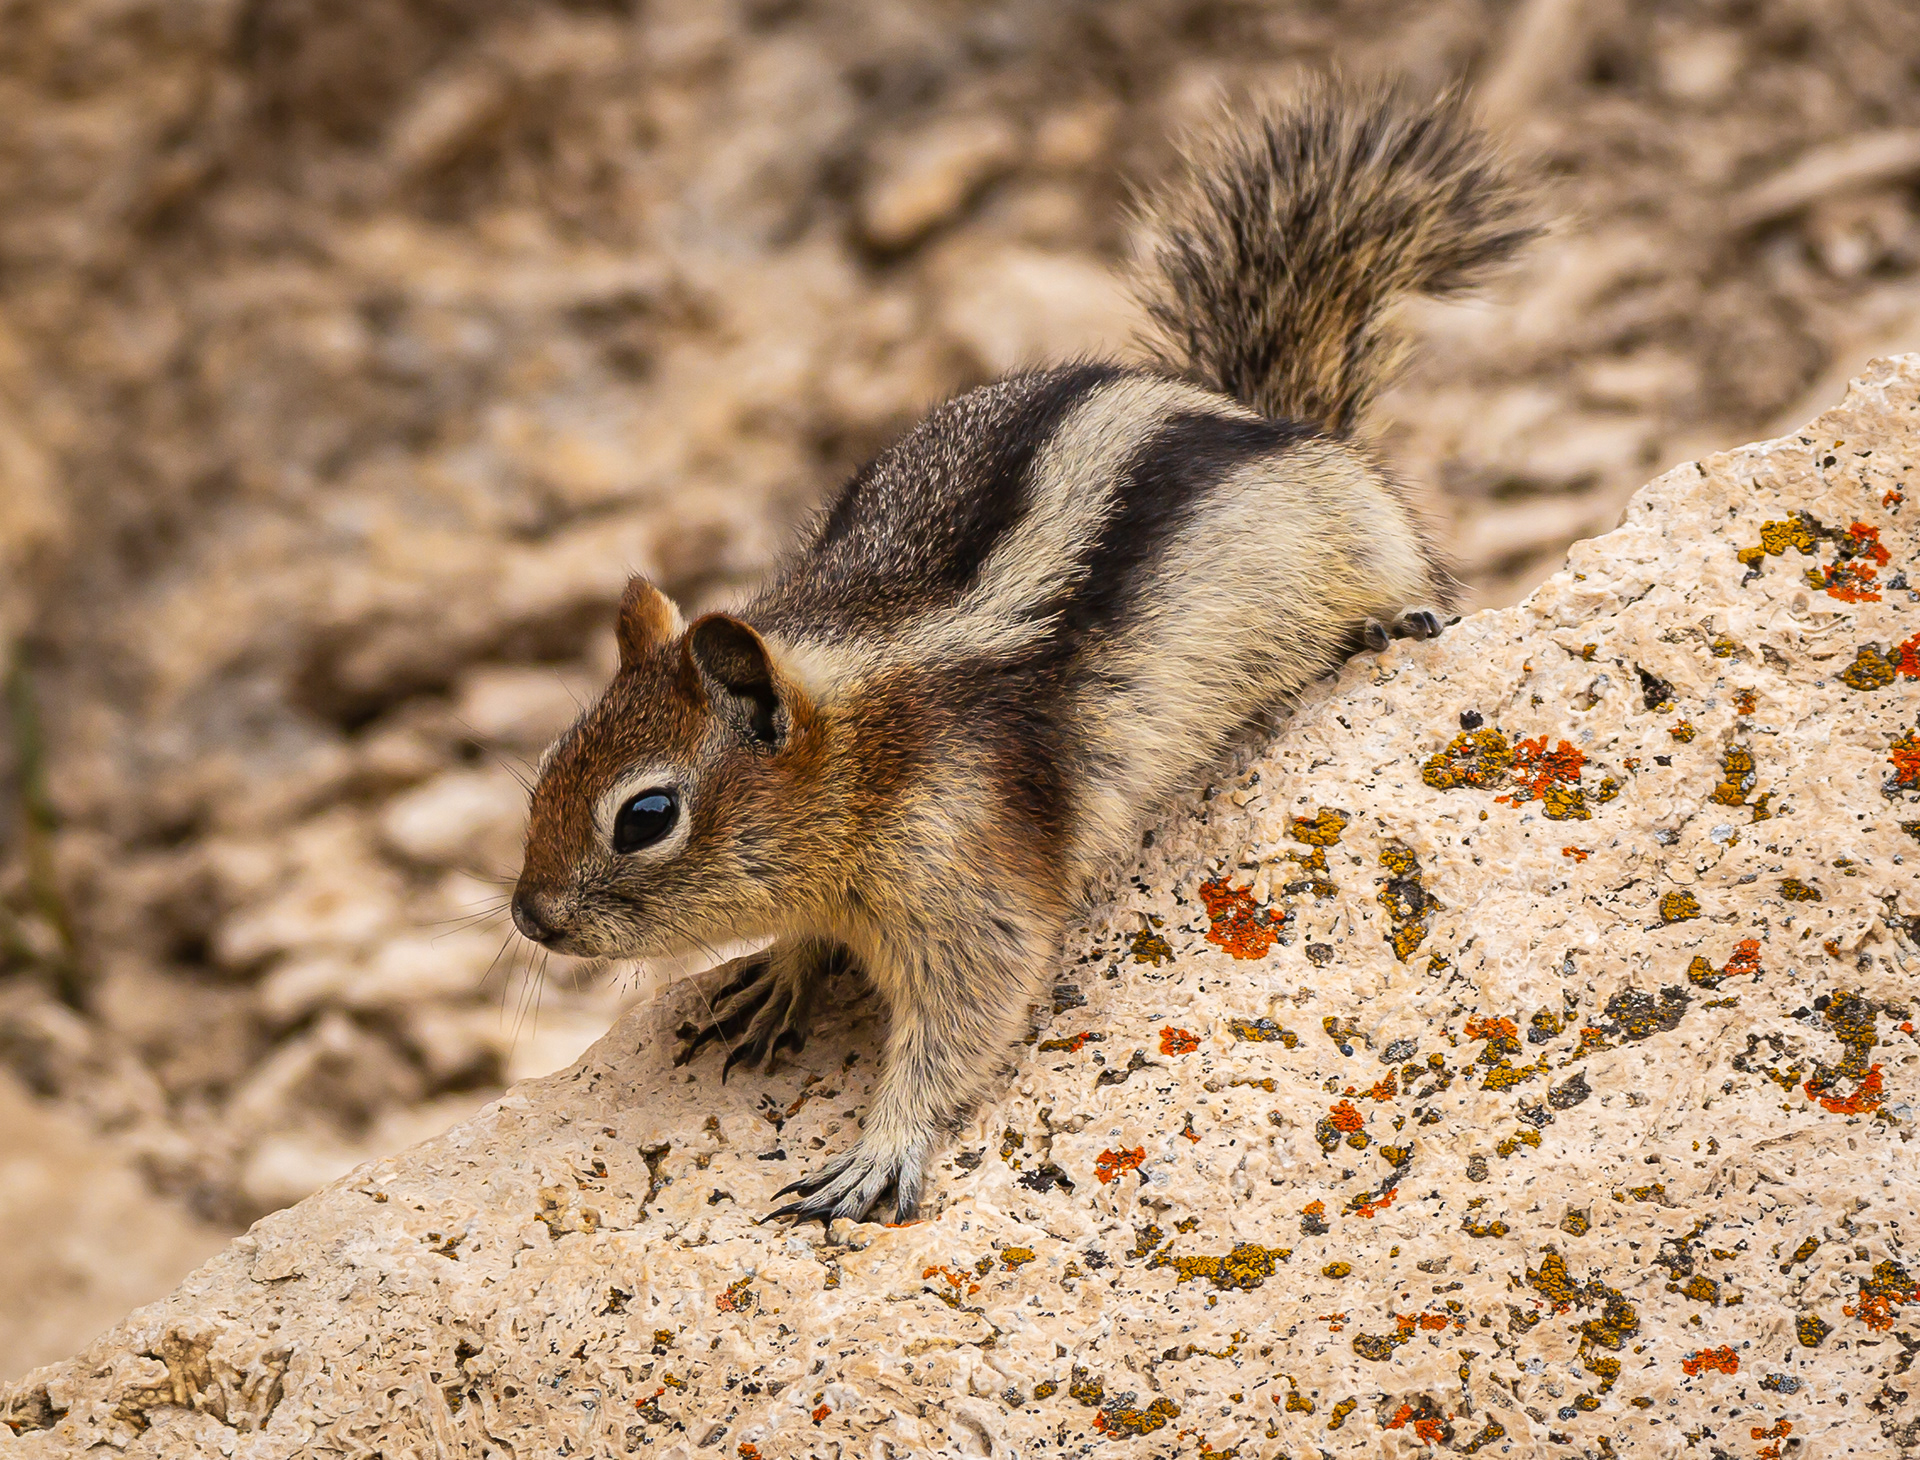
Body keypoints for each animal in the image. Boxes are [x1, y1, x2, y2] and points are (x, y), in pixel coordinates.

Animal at [511, 76, 1536, 1224]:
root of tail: (1255, 406)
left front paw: (880, 1151)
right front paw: (779, 976)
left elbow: (969, 1013)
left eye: (645, 817)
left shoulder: (970, 866)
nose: (528, 916)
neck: (862, 755)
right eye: (546, 768)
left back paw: (1391, 620)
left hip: (1366, 536)